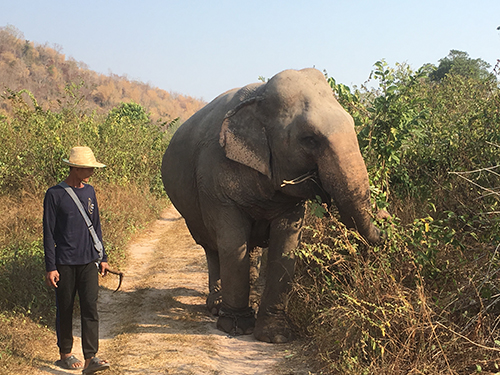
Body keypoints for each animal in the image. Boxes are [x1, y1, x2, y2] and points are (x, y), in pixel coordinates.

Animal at [162, 67, 380, 344]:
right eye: (309, 139)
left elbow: (285, 246)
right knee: (212, 247)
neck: (259, 97)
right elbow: (232, 243)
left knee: (249, 249)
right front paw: (236, 327)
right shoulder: (214, 179)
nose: (385, 214)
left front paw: (275, 335)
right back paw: (216, 307)